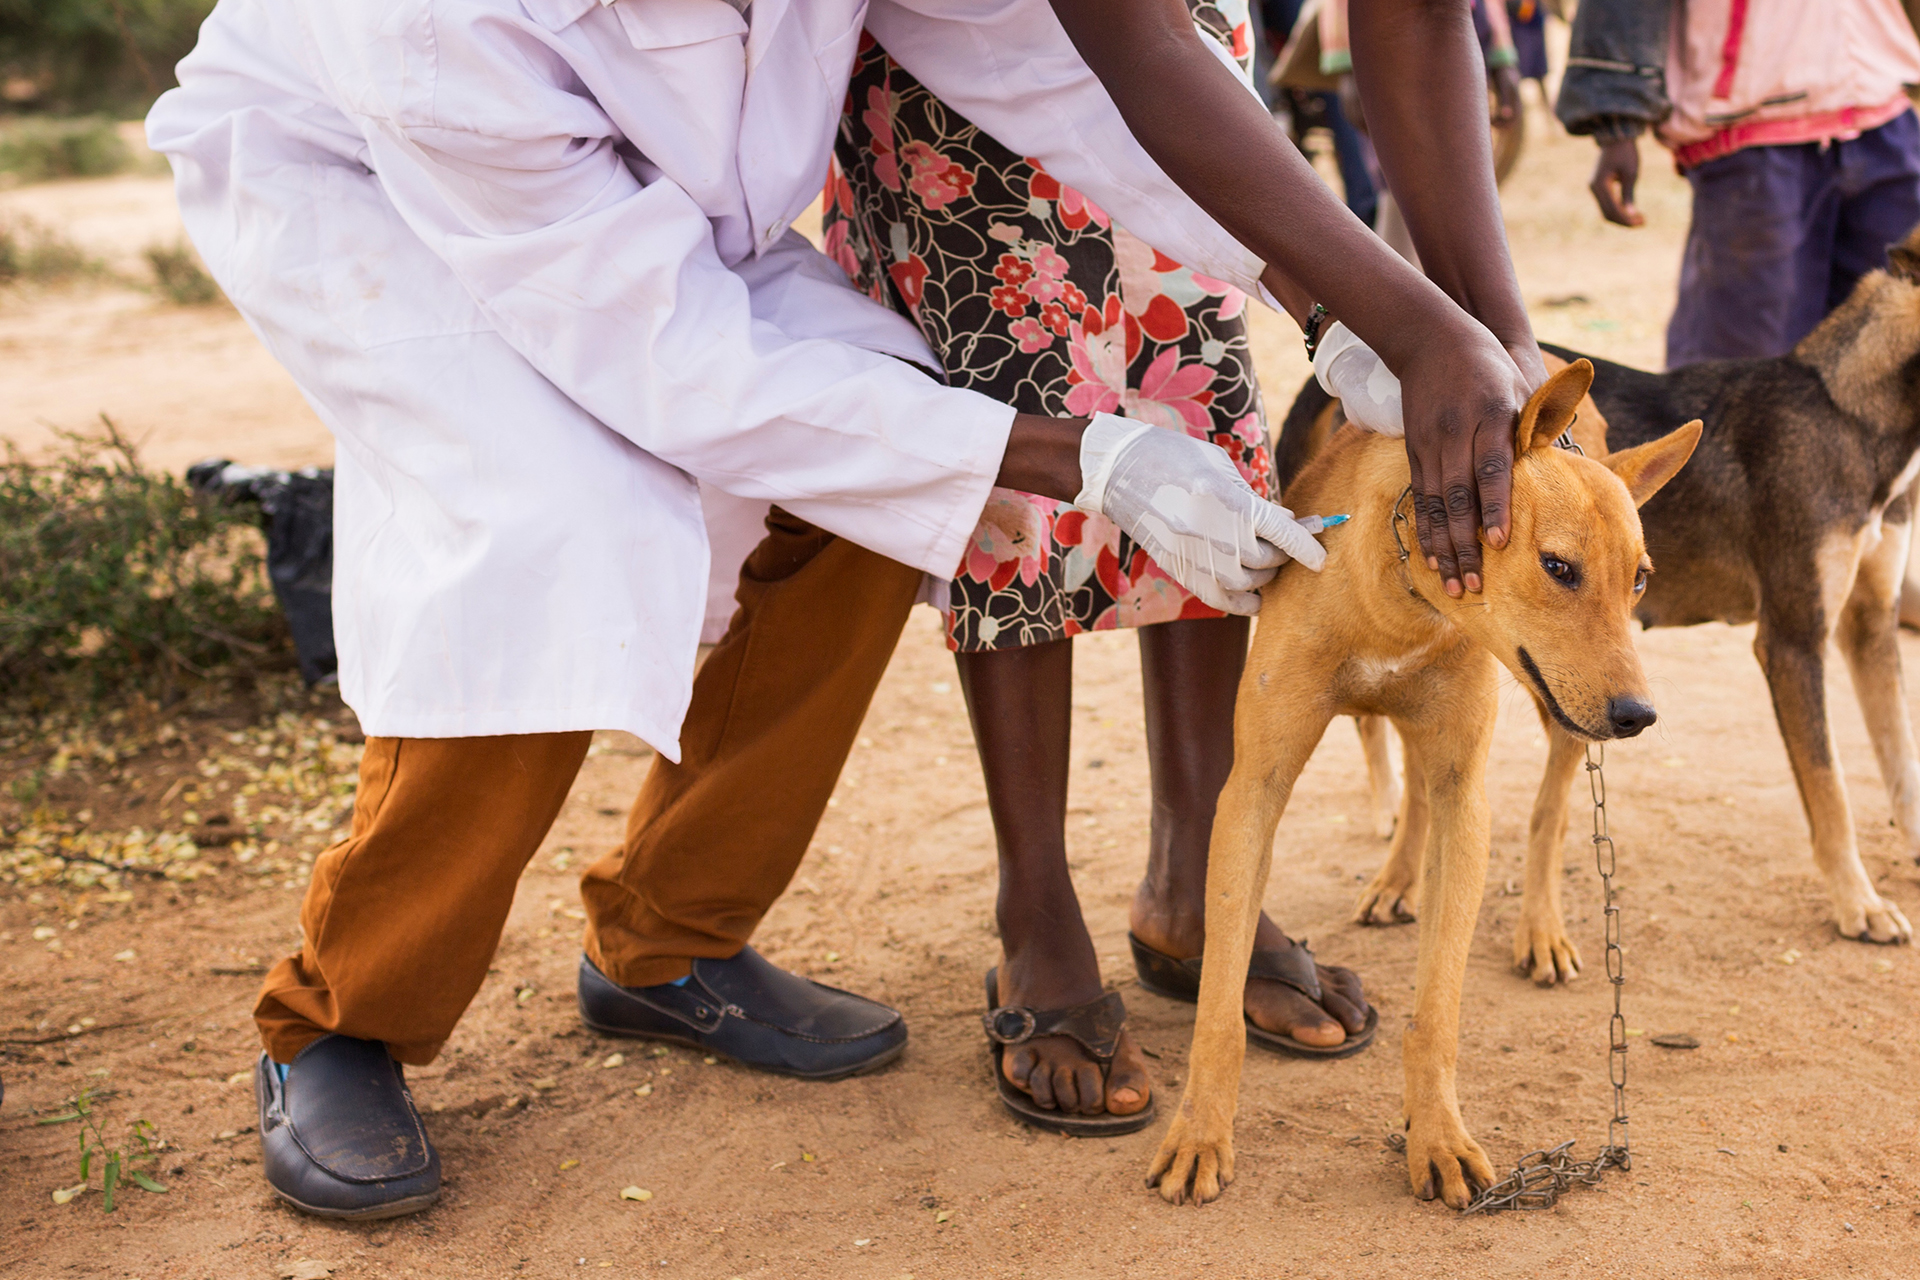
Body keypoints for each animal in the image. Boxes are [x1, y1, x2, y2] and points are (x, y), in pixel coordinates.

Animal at [1136, 362, 1697, 1212]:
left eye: (1639, 580)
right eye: (1558, 567)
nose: (1639, 715)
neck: (1403, 597)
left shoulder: (1467, 792)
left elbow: (1436, 1010)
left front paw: (1436, 1137)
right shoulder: (1255, 788)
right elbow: (1218, 1008)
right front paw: (1200, 1133)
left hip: (1559, 721)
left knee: (1548, 814)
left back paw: (1541, 928)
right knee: (1413, 787)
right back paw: (1397, 880)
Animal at [1328, 230, 1920, 974]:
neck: (1854, 416)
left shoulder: (1870, 626)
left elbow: (1902, 761)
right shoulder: (1793, 637)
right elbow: (1831, 785)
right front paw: (1858, 902)